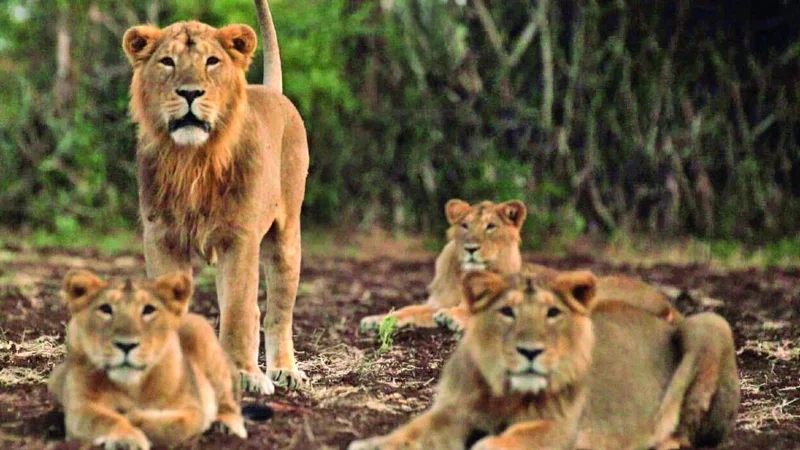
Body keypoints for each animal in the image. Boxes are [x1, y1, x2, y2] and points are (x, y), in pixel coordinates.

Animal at [48, 270, 249, 450]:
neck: (132, 386)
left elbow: (174, 425)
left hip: (204, 337)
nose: (126, 345)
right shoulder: (80, 408)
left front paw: (134, 417)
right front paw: (126, 439)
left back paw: (227, 424)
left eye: (149, 309)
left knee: (228, 400)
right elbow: (103, 419)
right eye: (106, 309)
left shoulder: (192, 408)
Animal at [122, 0, 309, 393]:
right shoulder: (161, 238)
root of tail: (273, 91)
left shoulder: (239, 239)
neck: (192, 160)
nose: (190, 93)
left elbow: (238, 310)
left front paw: (243, 375)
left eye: (212, 61)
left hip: (285, 237)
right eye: (167, 62)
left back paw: (284, 371)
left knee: (276, 311)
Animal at [348, 269, 739, 450]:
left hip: (709, 326)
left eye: (552, 315)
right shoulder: (453, 410)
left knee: (686, 434)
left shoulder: (560, 429)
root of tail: (668, 306)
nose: (530, 350)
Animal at [360, 199, 680, 333]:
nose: (471, 247)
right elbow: (409, 310)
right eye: (464, 225)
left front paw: (451, 319)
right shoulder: (438, 300)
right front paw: (375, 320)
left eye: (490, 226)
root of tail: (667, 302)